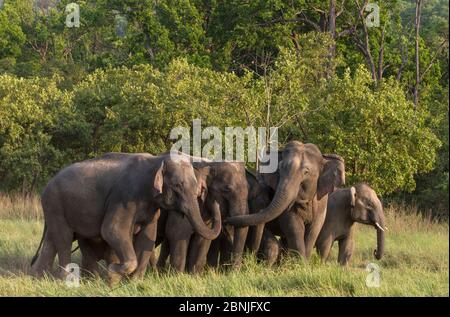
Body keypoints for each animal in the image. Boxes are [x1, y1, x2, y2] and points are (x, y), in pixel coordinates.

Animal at [29, 152, 220, 278]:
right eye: (178, 185)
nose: (215, 202)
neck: (156, 160)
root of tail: (47, 185)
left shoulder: (151, 206)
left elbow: (147, 236)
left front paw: (134, 282)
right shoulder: (124, 197)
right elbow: (111, 230)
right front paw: (115, 271)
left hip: (55, 209)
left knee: (51, 241)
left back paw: (39, 278)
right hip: (54, 204)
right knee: (64, 239)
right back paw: (64, 279)